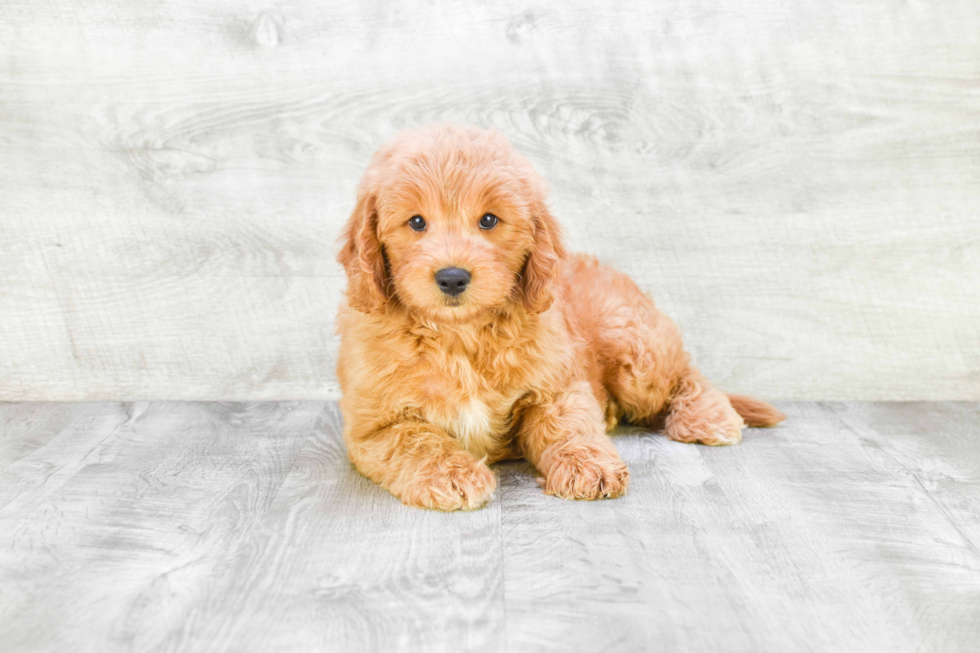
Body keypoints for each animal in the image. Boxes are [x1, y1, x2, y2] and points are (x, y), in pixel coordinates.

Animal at [336, 122, 780, 510]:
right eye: (415, 222)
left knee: (685, 373)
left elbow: (568, 426)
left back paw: (708, 416)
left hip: (634, 348)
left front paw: (588, 465)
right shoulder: (374, 425)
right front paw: (452, 474)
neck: (461, 335)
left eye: (489, 220)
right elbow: (415, 439)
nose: (452, 277)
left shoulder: (557, 386)